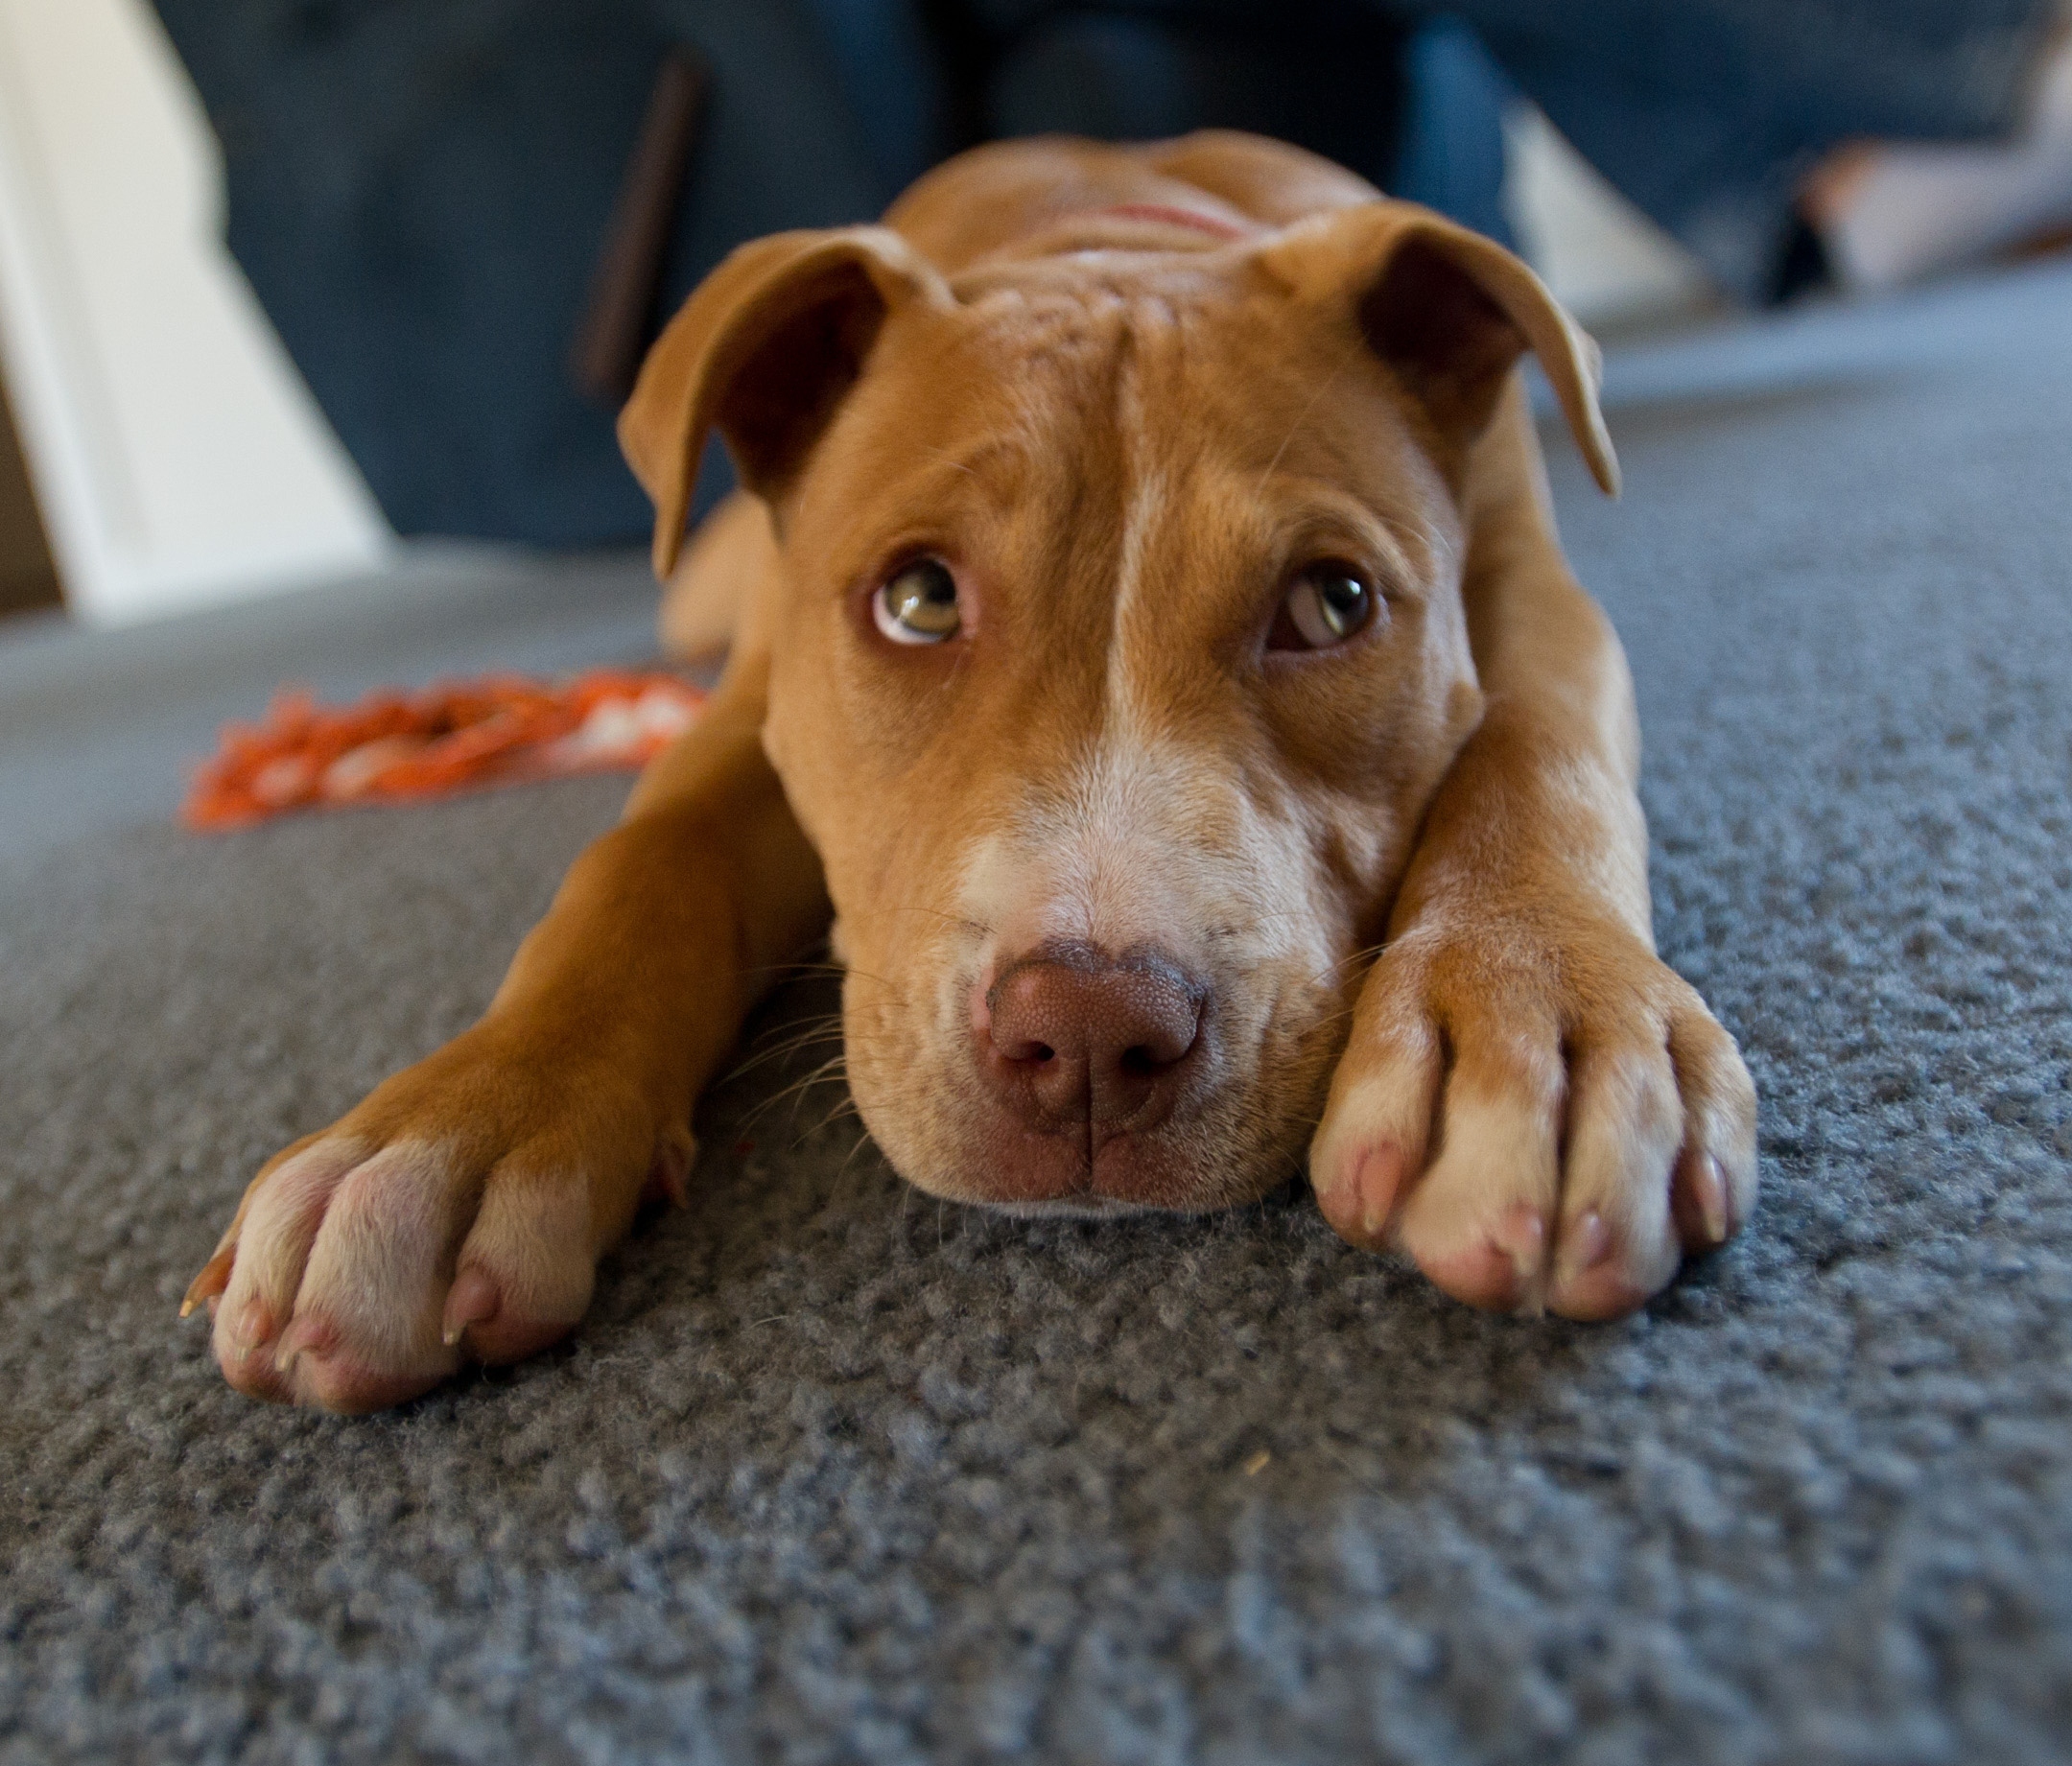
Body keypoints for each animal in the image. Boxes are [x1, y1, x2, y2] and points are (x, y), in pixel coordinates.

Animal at [186, 130, 1756, 1417]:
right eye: (920, 599)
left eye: (1334, 606)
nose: (1092, 1033)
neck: (1116, 239)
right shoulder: (755, 702)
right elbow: (641, 862)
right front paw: (454, 1128)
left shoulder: (1539, 599)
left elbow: (1537, 749)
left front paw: (1537, 1026)